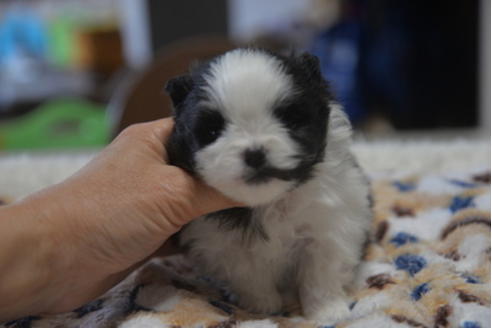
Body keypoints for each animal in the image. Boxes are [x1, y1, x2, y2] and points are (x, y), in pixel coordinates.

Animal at [166, 48, 372, 322]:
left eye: (291, 120)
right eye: (212, 132)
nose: (255, 154)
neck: (271, 201)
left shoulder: (328, 229)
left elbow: (320, 274)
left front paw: (328, 311)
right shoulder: (224, 245)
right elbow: (248, 275)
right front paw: (263, 306)